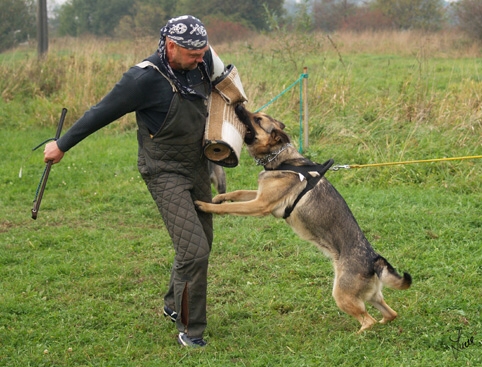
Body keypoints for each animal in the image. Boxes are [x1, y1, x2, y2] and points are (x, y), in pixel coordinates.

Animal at [194, 105, 412, 334]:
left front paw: (205, 205)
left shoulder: (260, 205)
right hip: (371, 296)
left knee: (368, 321)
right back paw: (381, 325)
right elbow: (237, 193)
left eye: (258, 119)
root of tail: (374, 259)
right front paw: (218, 198)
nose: (239, 106)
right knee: (390, 314)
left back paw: (356, 335)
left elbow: (230, 207)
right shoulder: (260, 196)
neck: (283, 160)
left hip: (342, 294)